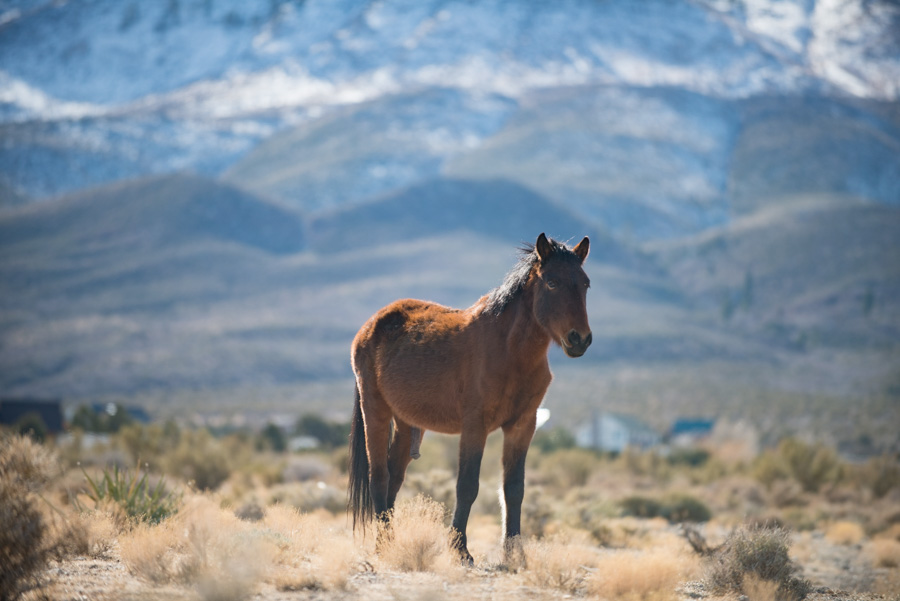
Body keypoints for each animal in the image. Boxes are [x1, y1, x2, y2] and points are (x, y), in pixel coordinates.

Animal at [348, 231, 596, 564]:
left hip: (405, 423)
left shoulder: (522, 426)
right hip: (375, 410)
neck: (509, 350)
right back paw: (384, 545)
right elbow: (467, 486)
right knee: (379, 477)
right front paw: (461, 549)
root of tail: (372, 324)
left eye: (585, 283)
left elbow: (513, 489)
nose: (579, 339)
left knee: (394, 479)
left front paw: (515, 554)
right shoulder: (475, 426)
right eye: (552, 282)